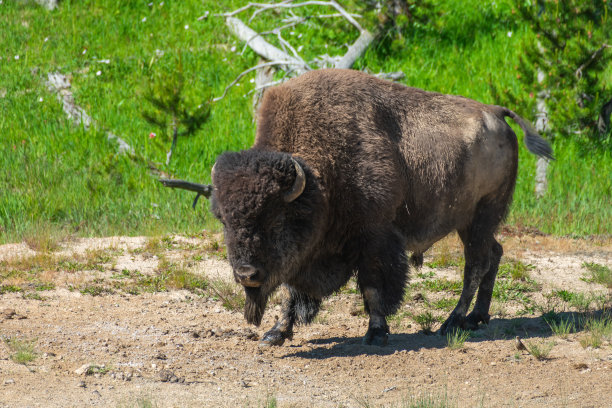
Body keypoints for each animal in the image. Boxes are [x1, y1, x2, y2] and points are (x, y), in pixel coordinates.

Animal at [209, 68, 548, 346]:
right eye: (225, 222)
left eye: (275, 221)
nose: (246, 273)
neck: (319, 179)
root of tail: (496, 113)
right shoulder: (307, 253)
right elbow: (291, 291)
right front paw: (275, 334)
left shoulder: (374, 238)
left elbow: (373, 287)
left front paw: (375, 333)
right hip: (472, 222)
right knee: (494, 254)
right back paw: (477, 318)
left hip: (482, 215)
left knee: (475, 265)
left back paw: (451, 323)